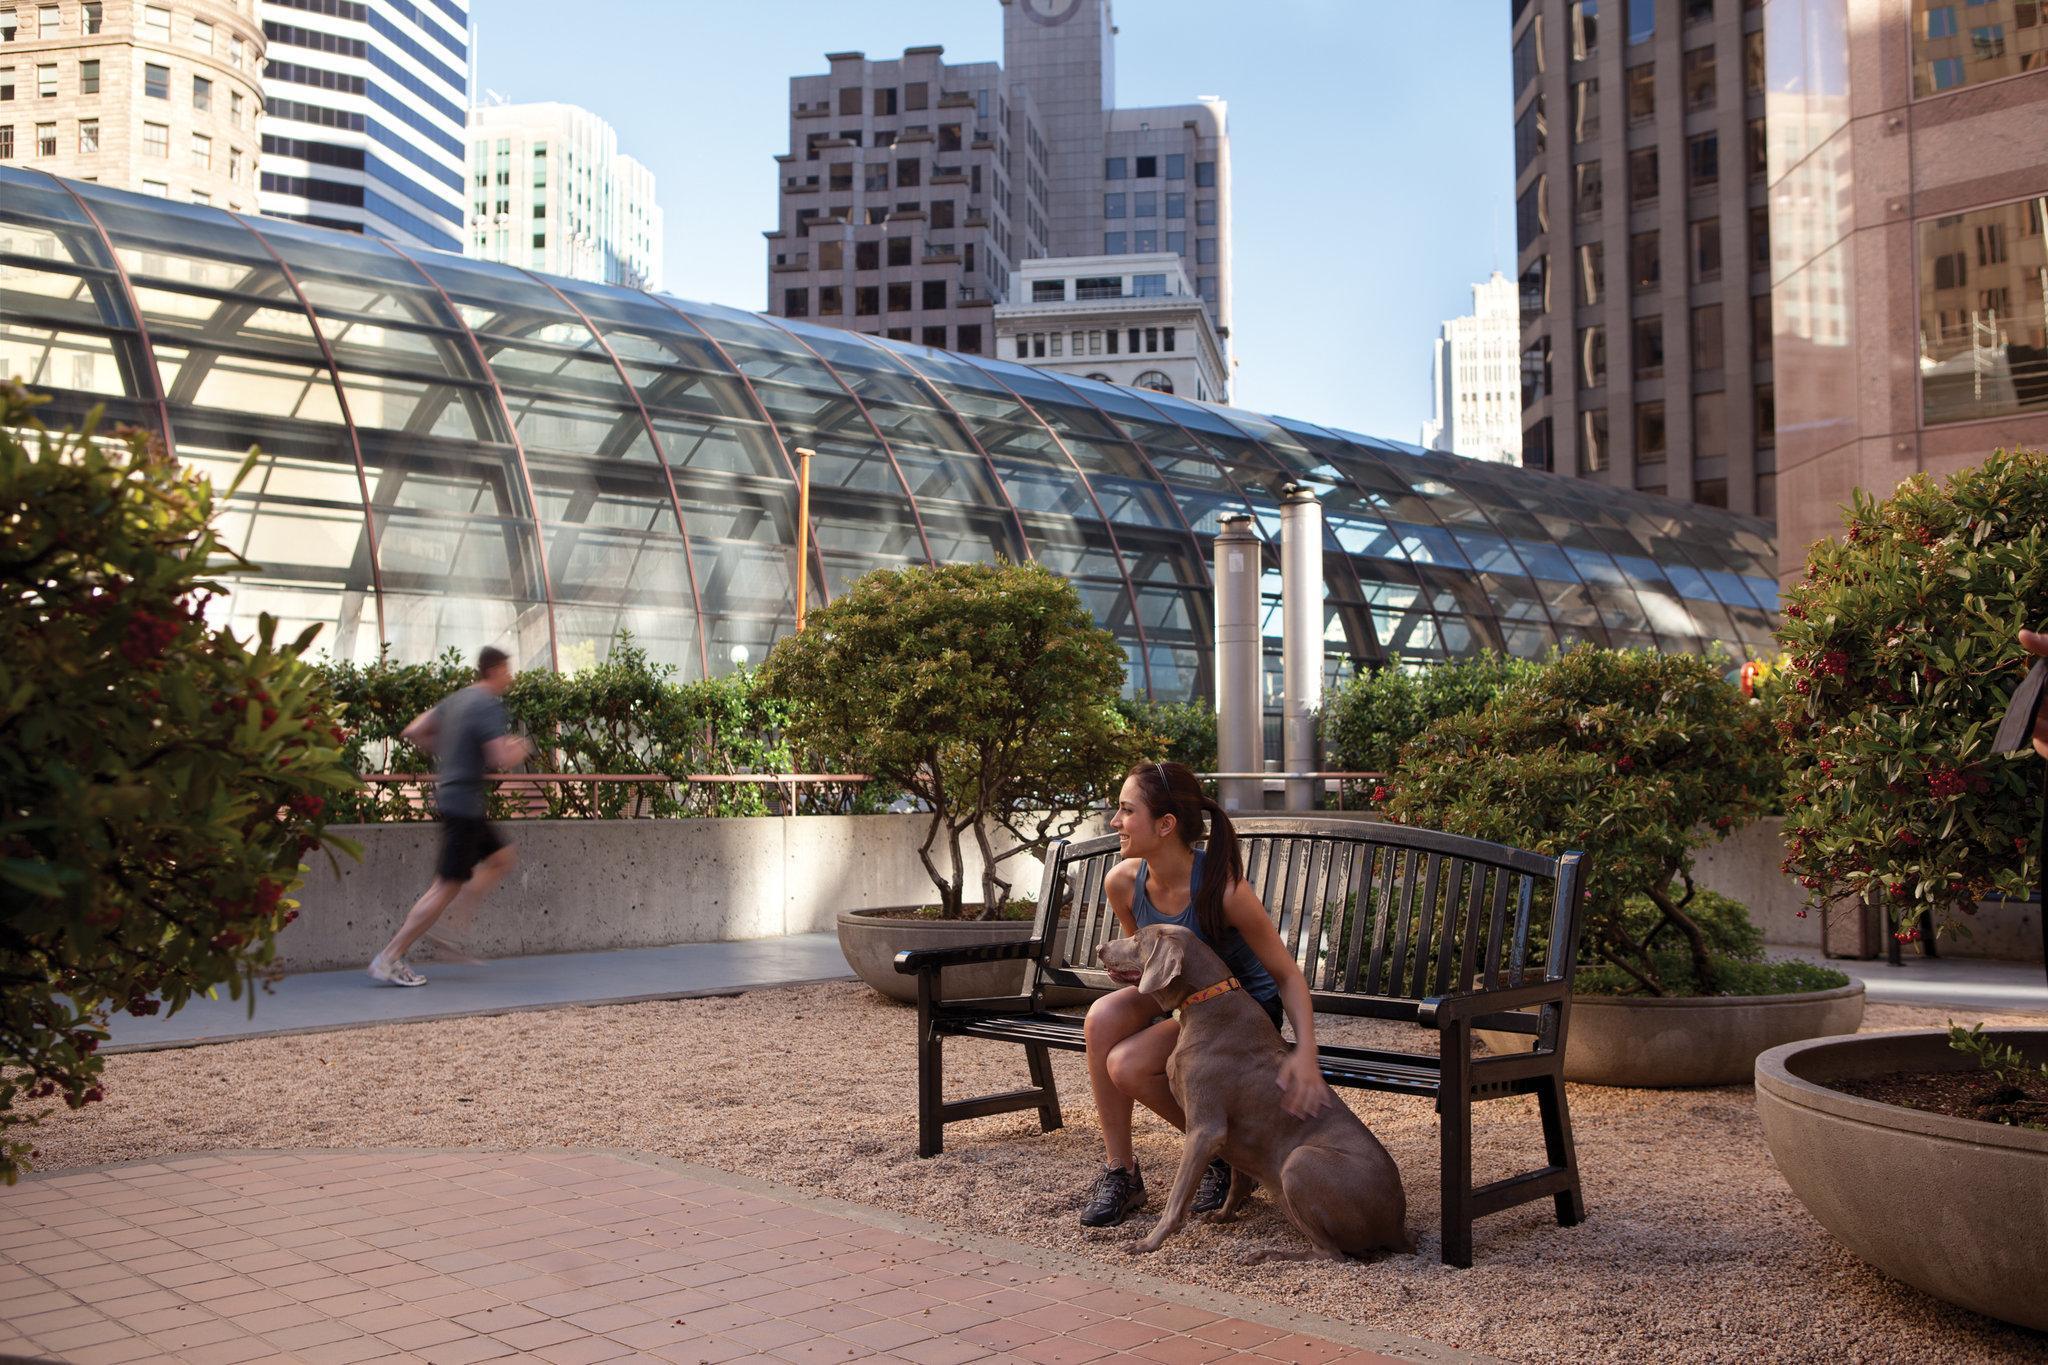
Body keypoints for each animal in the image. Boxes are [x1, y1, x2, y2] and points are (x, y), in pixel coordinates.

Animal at [1097, 925, 1417, 1268]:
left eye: (1137, 938)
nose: (1101, 948)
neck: (1204, 1001)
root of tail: (1398, 1225)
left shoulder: (1205, 1128)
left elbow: (1176, 1197)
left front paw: (1149, 1242)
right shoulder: (1235, 1134)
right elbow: (1237, 1178)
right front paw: (1224, 1215)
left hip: (1300, 1161)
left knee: (1330, 1253)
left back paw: (1268, 1253)